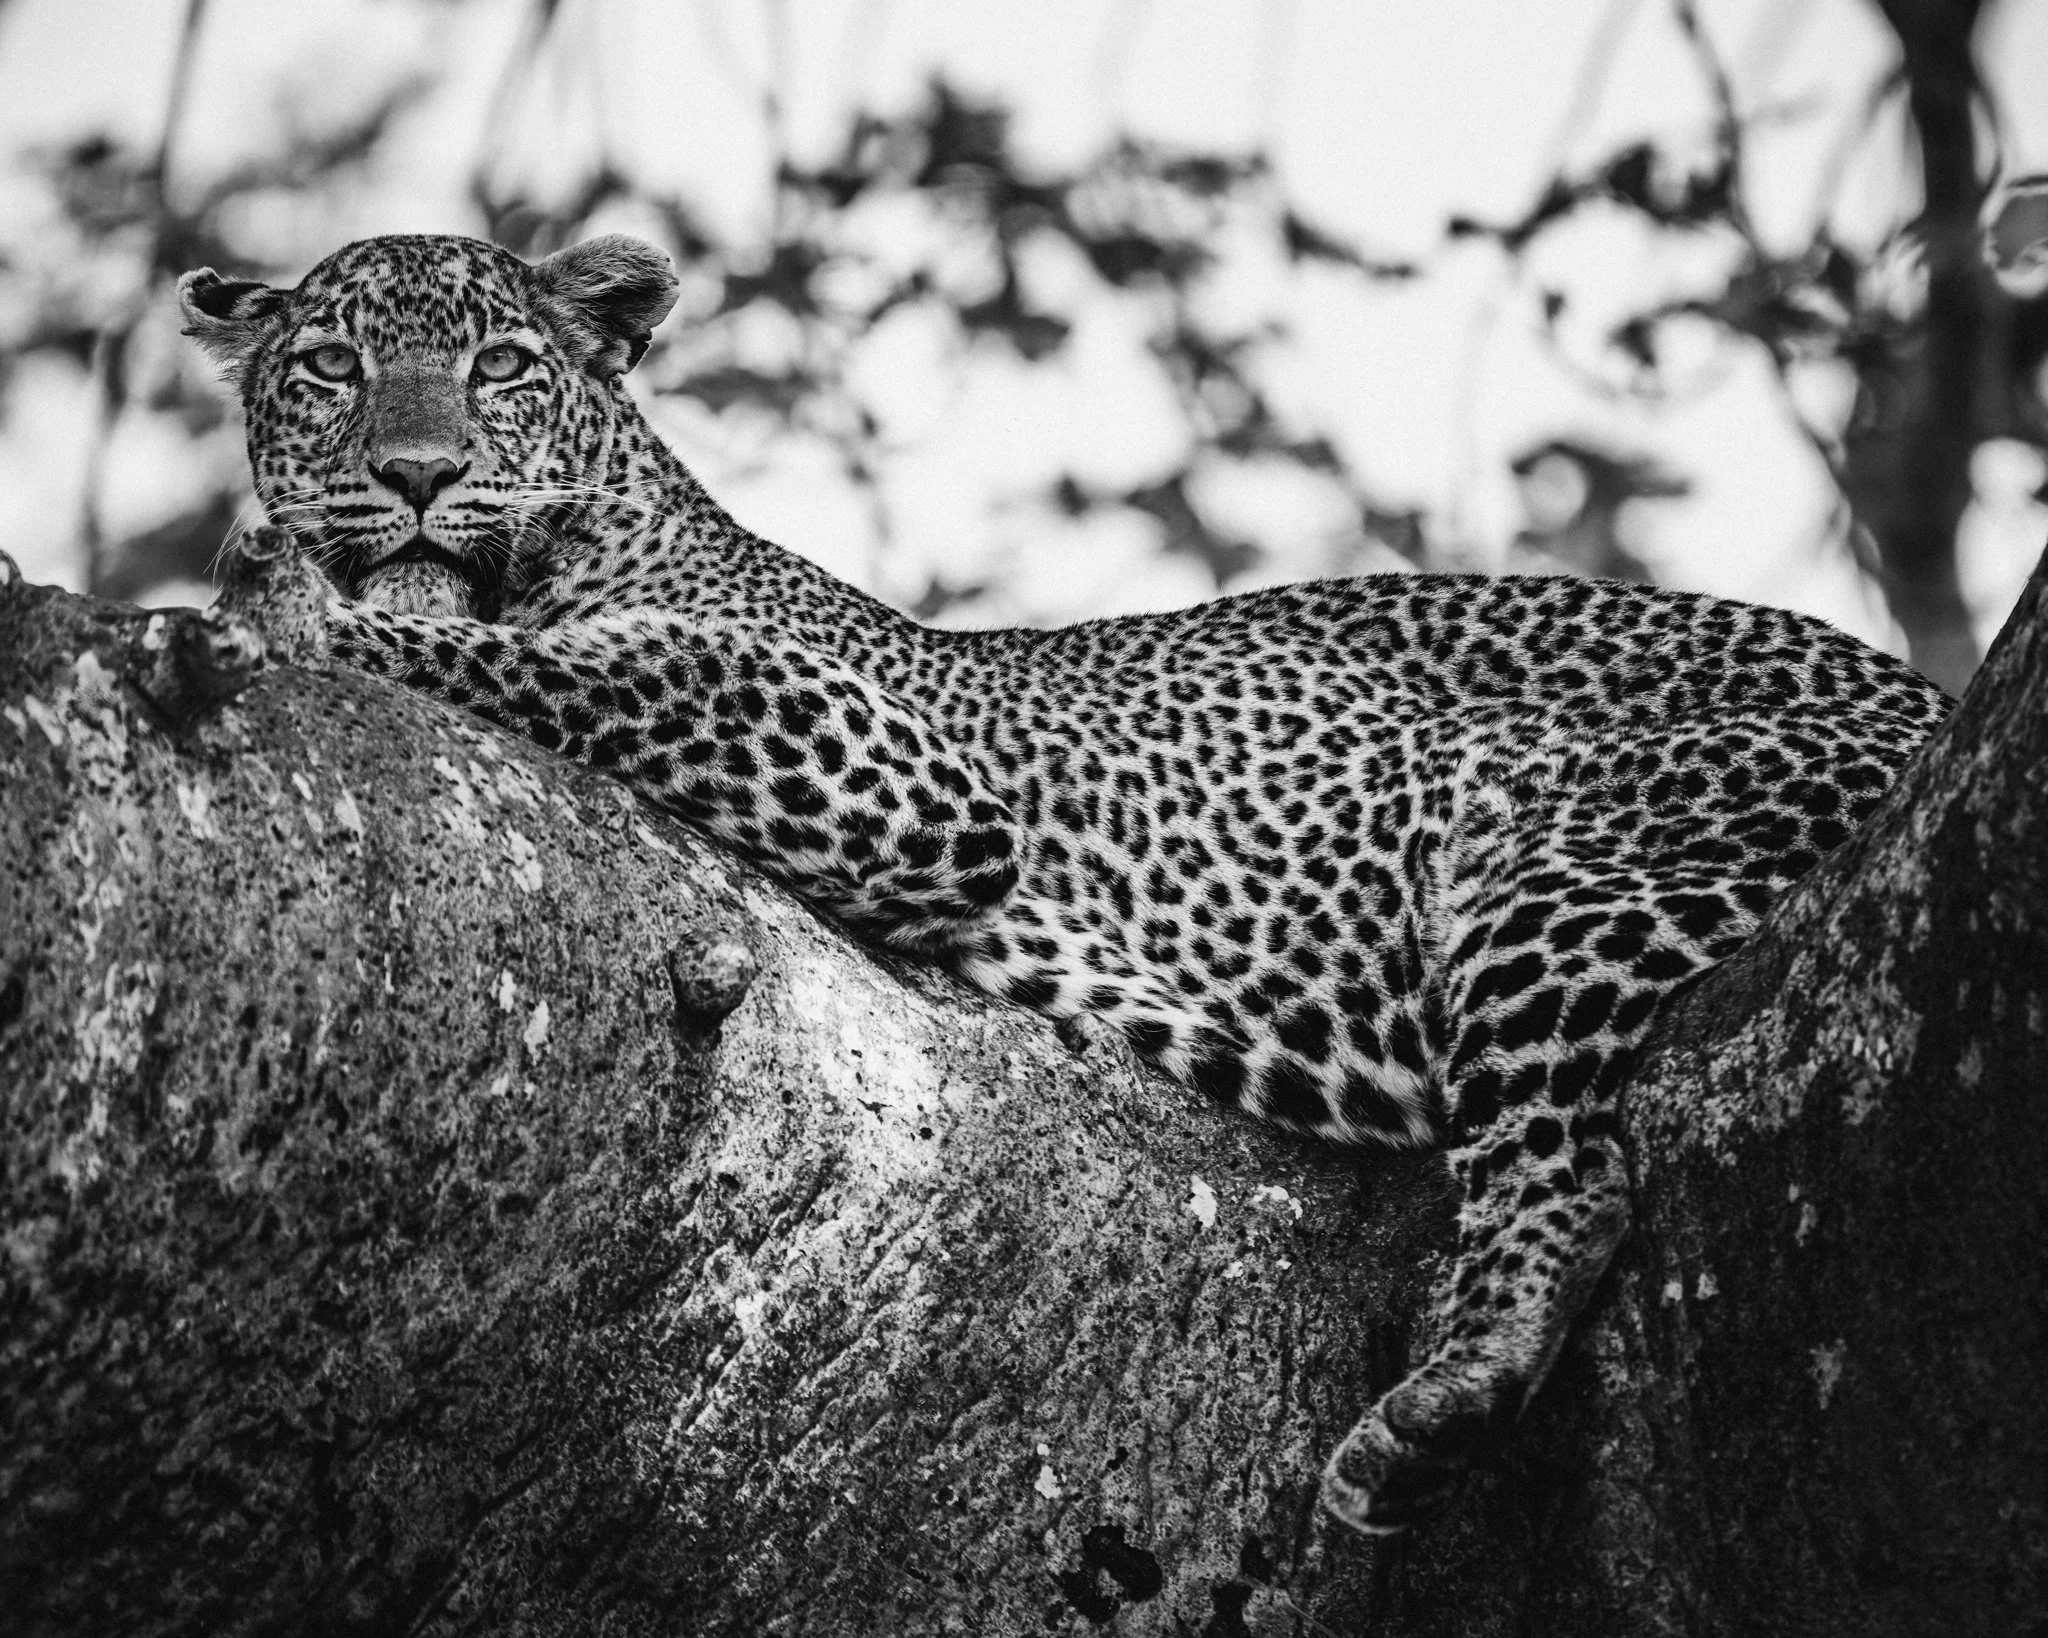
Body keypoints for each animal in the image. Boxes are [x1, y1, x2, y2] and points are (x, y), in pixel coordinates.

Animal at [178, 232, 1951, 1537]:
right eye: (328, 371)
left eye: (502, 367)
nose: (415, 475)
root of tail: (1923, 701)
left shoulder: (894, 762)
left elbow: (589, 670)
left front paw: (301, 606)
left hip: (1549, 848)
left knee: (1568, 1172)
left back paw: (1450, 1397)